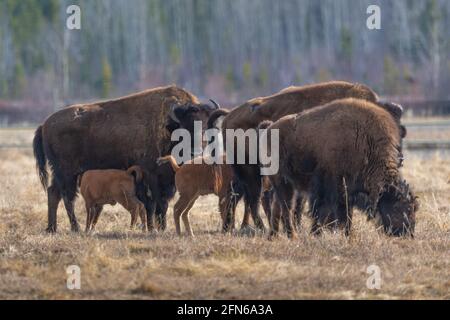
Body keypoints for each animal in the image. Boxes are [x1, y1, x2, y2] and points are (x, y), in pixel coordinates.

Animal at [32, 85, 217, 232]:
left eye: (206, 127)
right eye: (185, 127)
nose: (195, 151)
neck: (167, 125)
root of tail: (44, 125)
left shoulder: (166, 180)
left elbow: (162, 204)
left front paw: (160, 227)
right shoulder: (150, 176)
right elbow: (153, 203)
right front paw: (153, 228)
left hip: (62, 173)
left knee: (53, 193)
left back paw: (52, 228)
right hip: (67, 173)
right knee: (67, 197)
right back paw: (74, 227)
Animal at [260, 99, 418, 239]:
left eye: (414, 208)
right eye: (400, 207)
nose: (408, 233)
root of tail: (269, 129)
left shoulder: (347, 192)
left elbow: (345, 215)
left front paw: (347, 235)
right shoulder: (329, 189)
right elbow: (323, 212)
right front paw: (318, 234)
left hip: (286, 184)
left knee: (278, 206)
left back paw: (274, 235)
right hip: (281, 181)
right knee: (286, 207)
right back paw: (292, 236)